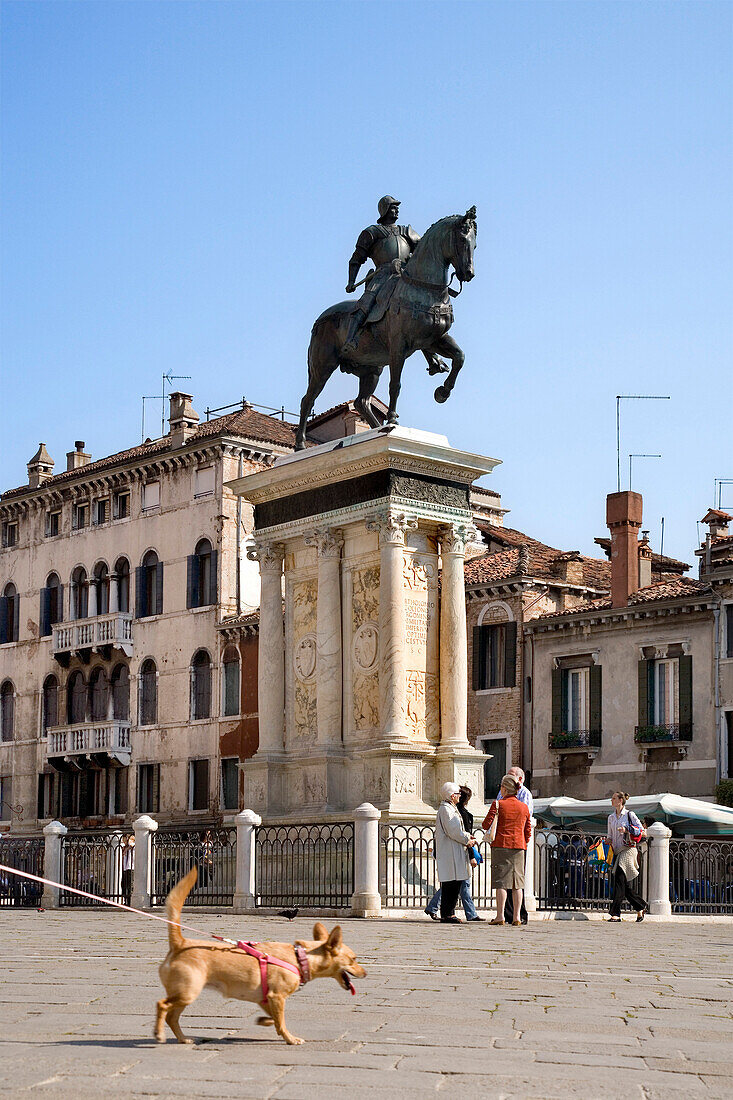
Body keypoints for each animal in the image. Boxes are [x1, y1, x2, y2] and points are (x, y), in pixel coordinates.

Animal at [157, 871, 367, 1042]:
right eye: (354, 959)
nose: (365, 973)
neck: (301, 957)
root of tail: (180, 943)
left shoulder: (266, 1000)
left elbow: (275, 1019)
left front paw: (264, 1021)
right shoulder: (277, 997)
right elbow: (281, 1021)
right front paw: (290, 1039)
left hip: (185, 994)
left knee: (172, 1017)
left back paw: (183, 1039)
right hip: (188, 991)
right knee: (162, 1006)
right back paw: (158, 1033)